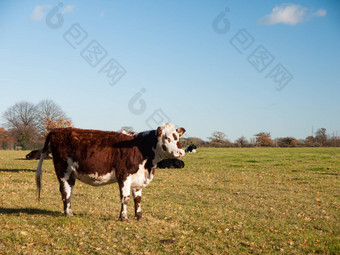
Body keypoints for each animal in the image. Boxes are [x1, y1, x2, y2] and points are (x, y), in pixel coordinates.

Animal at [35, 122, 185, 220]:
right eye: (167, 138)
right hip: (63, 171)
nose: (181, 152)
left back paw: (70, 212)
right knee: (65, 192)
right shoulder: (124, 175)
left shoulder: (138, 178)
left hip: (71, 173)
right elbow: (125, 198)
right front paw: (123, 217)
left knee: (69, 192)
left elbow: (137, 199)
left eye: (178, 138)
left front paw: (139, 216)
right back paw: (67, 213)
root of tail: (56, 130)